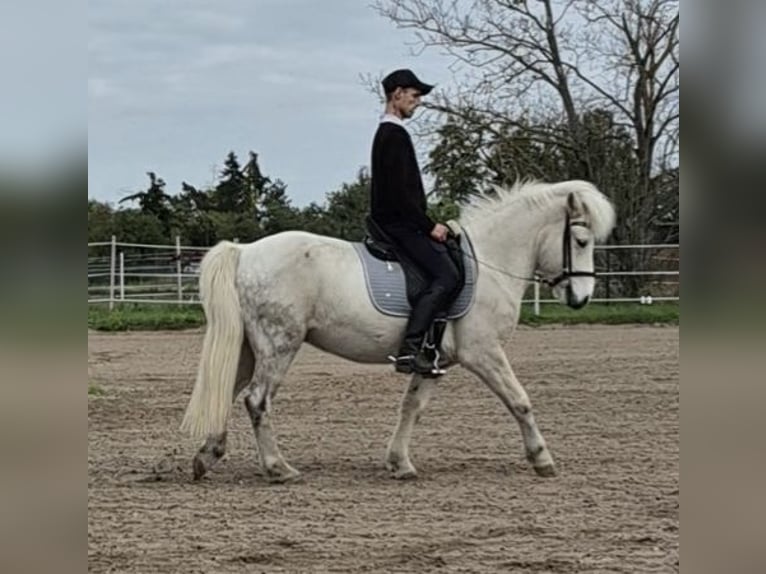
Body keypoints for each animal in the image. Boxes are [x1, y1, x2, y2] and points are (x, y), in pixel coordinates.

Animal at [181, 180, 616, 482]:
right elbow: (520, 401)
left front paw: (399, 463)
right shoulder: (484, 353)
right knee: (257, 400)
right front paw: (542, 459)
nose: (581, 297)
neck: (489, 264)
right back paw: (278, 468)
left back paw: (206, 457)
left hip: (249, 347)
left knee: (227, 391)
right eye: (581, 240)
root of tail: (245, 251)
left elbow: (412, 407)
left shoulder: (433, 360)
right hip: (279, 345)